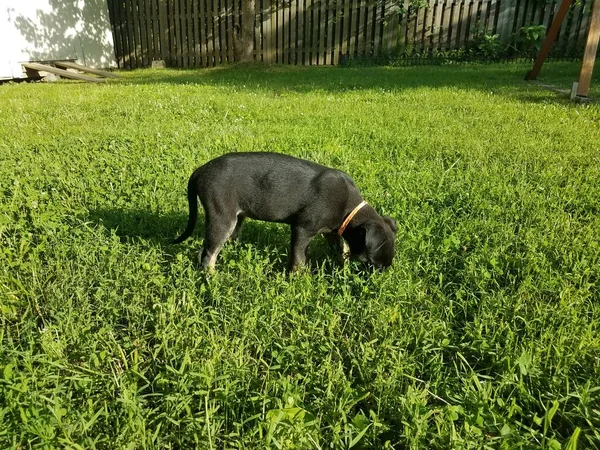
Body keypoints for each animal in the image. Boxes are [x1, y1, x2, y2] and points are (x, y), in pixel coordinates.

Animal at [172, 152, 398, 270]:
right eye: (370, 263)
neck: (349, 209)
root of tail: (200, 170)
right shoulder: (302, 229)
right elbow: (298, 259)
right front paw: (297, 279)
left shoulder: (331, 230)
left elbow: (341, 247)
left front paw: (340, 264)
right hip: (222, 217)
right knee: (208, 254)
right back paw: (212, 278)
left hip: (236, 217)